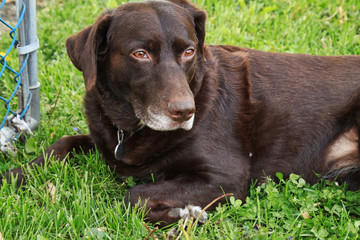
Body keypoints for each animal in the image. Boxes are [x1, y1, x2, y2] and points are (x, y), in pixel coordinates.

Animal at [0, 0, 360, 225]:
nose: (186, 112)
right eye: (140, 54)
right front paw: (16, 174)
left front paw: (183, 213)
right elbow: (62, 143)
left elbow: (134, 194)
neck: (131, 125)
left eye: (188, 51)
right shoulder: (103, 138)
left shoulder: (225, 177)